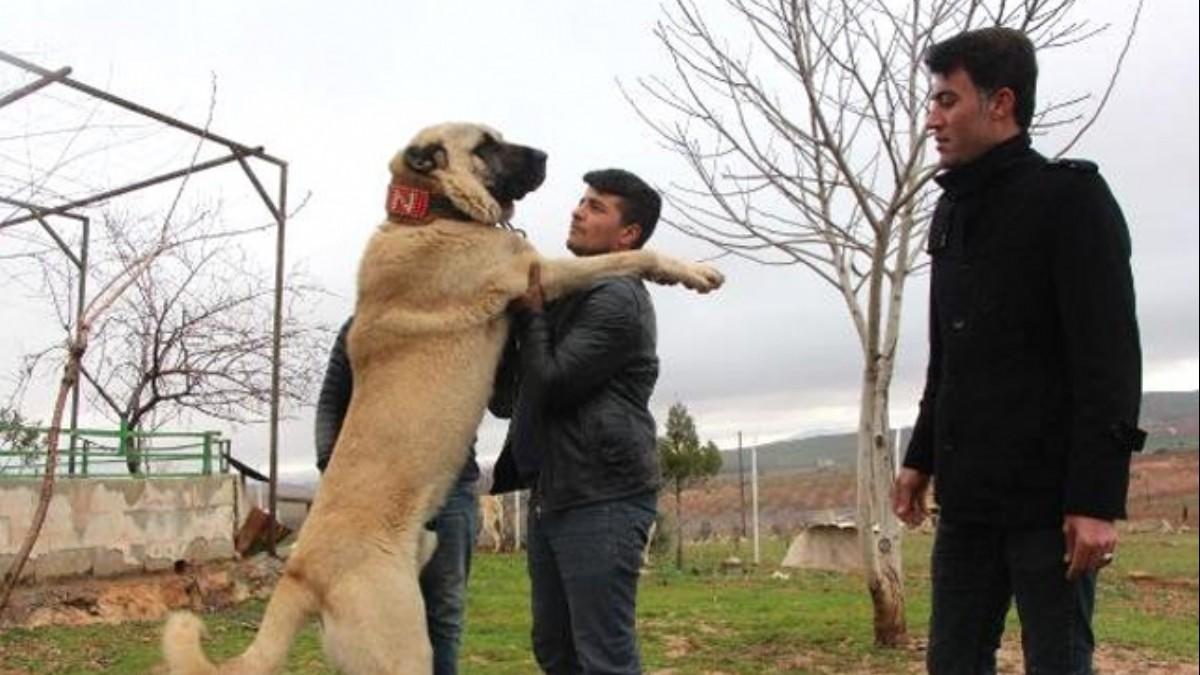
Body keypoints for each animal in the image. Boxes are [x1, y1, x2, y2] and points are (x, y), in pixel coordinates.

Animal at [159, 121, 720, 672]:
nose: (544, 155)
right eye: (486, 145)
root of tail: (300, 574)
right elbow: (632, 254)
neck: (429, 211)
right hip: (403, 644)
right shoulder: (535, 270)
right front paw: (692, 272)